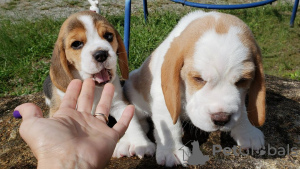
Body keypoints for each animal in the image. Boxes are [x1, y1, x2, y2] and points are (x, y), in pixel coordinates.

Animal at [43, 10, 156, 158]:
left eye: (109, 36)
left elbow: (133, 123)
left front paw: (142, 144)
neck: (95, 88)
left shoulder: (119, 103)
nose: (101, 54)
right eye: (76, 44)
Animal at [123, 10, 266, 166]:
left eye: (242, 81)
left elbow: (242, 110)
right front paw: (171, 150)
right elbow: (169, 125)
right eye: (199, 79)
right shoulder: (162, 95)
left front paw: (247, 131)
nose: (221, 119)